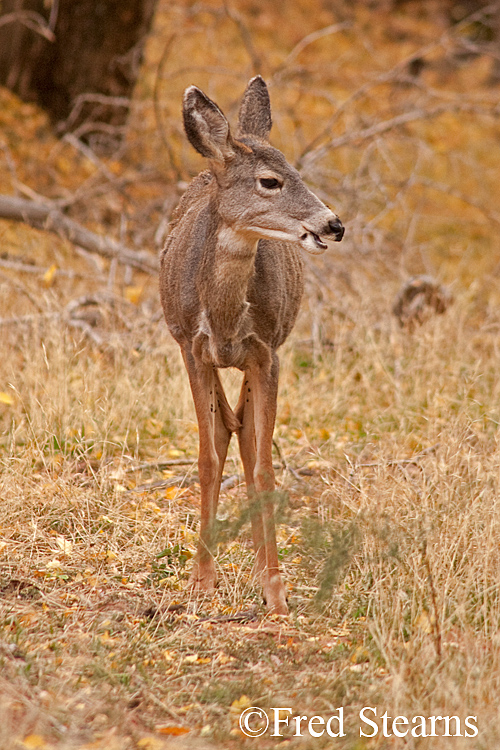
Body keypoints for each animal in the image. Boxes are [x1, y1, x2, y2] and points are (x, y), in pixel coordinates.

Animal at [160, 78, 344, 616]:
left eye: (297, 171)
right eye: (269, 181)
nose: (333, 224)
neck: (223, 318)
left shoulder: (268, 352)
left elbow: (264, 466)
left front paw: (276, 589)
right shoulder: (191, 347)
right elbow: (205, 459)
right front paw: (201, 581)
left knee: (245, 436)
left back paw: (262, 566)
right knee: (229, 431)